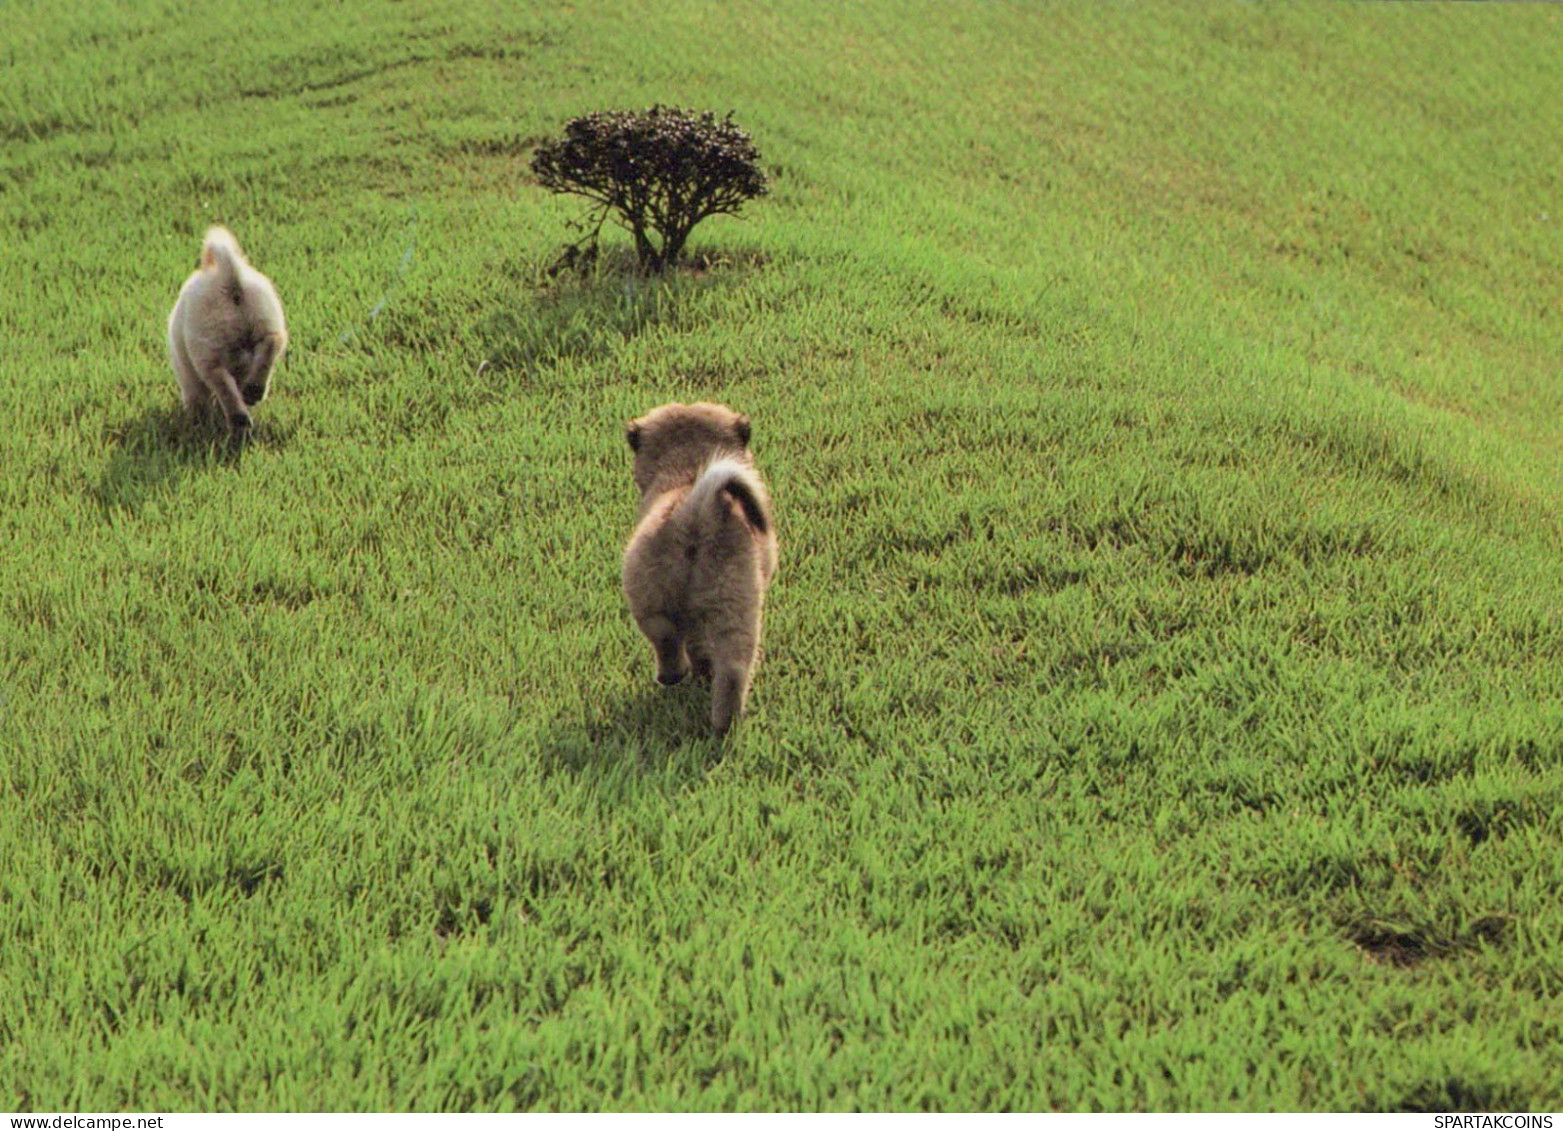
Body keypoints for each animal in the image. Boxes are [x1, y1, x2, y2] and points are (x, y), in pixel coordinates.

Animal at [166, 228, 289, 434]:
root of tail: (228, 277)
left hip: (207, 349)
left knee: (221, 381)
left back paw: (239, 420)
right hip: (267, 318)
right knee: (272, 343)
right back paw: (254, 391)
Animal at [622, 403, 781, 737]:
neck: (688, 471)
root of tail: (694, 513)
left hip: (647, 597)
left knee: (665, 640)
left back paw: (673, 677)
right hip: (737, 608)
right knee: (733, 669)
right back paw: (725, 724)